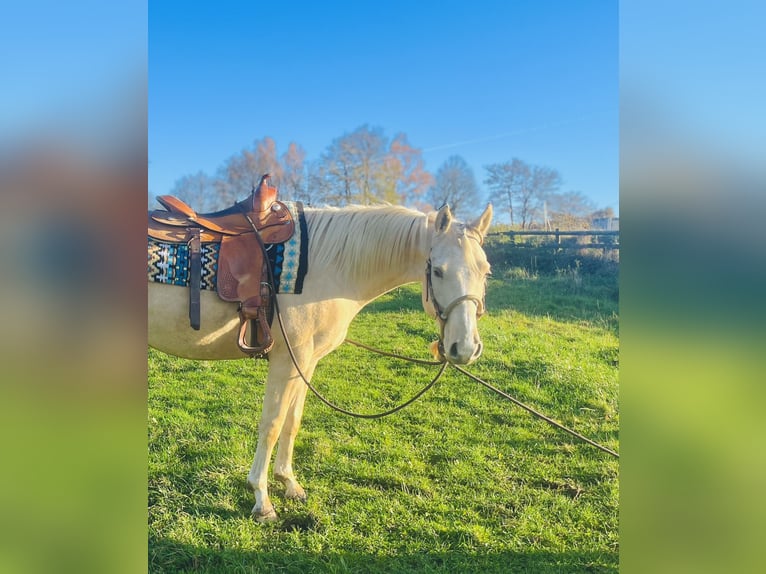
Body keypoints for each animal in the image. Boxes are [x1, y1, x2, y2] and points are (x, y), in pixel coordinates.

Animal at [148, 202, 493, 521]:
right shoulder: (288, 359)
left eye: (486, 271)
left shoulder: (305, 362)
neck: (328, 267)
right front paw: (262, 499)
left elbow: (293, 420)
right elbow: (272, 424)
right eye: (438, 271)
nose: (464, 347)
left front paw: (289, 483)